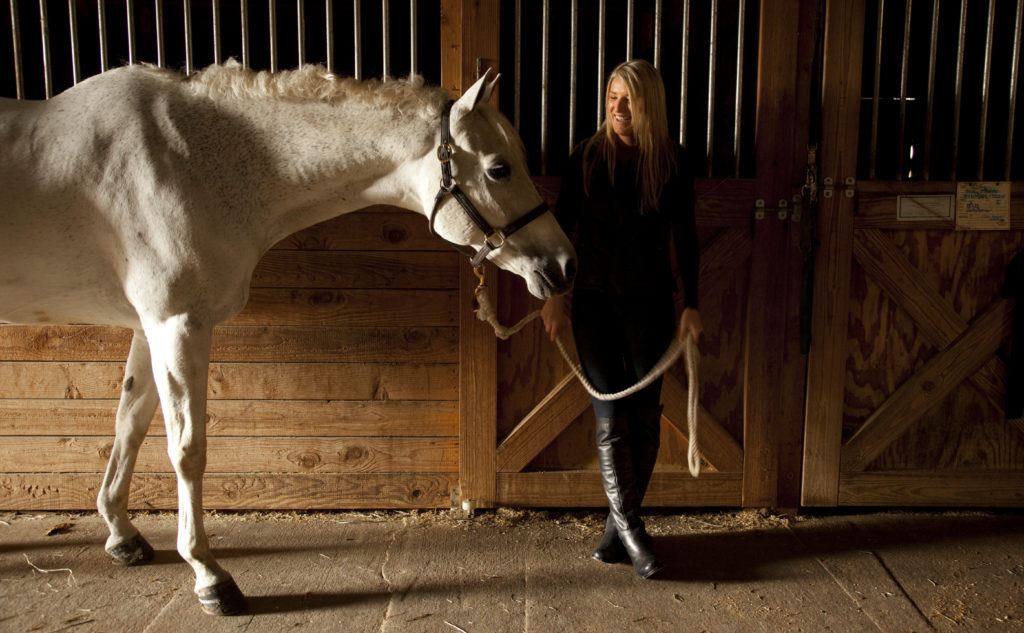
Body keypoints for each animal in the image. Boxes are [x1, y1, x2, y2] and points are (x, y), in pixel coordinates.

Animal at [0, 61, 576, 615]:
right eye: (500, 168)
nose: (565, 265)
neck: (189, 162)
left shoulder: (150, 325)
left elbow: (129, 426)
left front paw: (122, 535)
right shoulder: (177, 322)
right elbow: (187, 449)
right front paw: (209, 576)